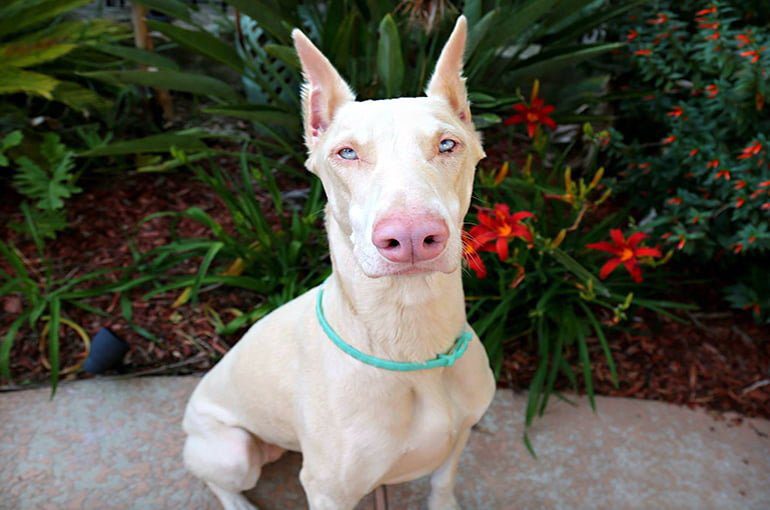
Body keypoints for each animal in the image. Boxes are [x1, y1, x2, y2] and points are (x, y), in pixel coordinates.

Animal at [184, 15, 498, 510]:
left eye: (448, 144)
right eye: (346, 152)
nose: (412, 237)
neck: (409, 341)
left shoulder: (459, 434)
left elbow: (442, 482)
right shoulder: (329, 490)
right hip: (230, 449)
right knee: (222, 480)